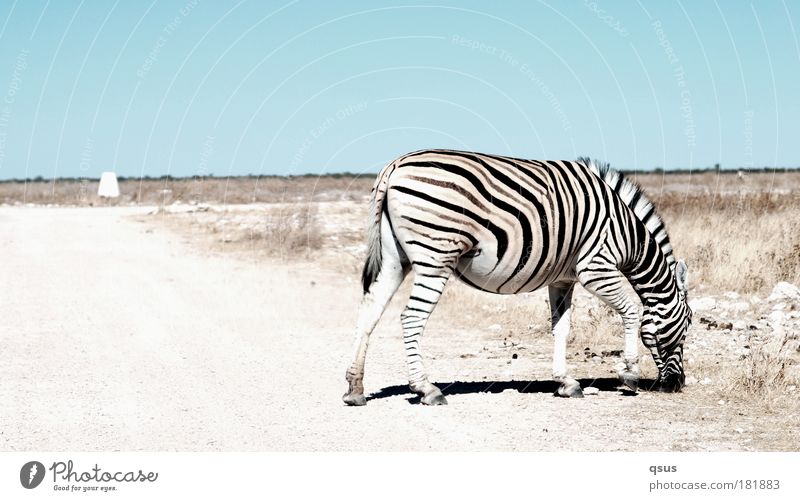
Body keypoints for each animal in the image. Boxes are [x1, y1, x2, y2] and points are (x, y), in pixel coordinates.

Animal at [340, 149, 692, 406]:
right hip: (435, 255)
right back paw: (426, 389)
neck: (626, 233)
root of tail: (394, 166)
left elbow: (561, 329)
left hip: (394, 257)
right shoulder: (595, 267)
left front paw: (565, 382)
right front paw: (629, 374)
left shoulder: (562, 279)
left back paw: (355, 388)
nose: (678, 384)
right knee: (411, 318)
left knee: (369, 312)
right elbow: (632, 311)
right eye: (687, 326)